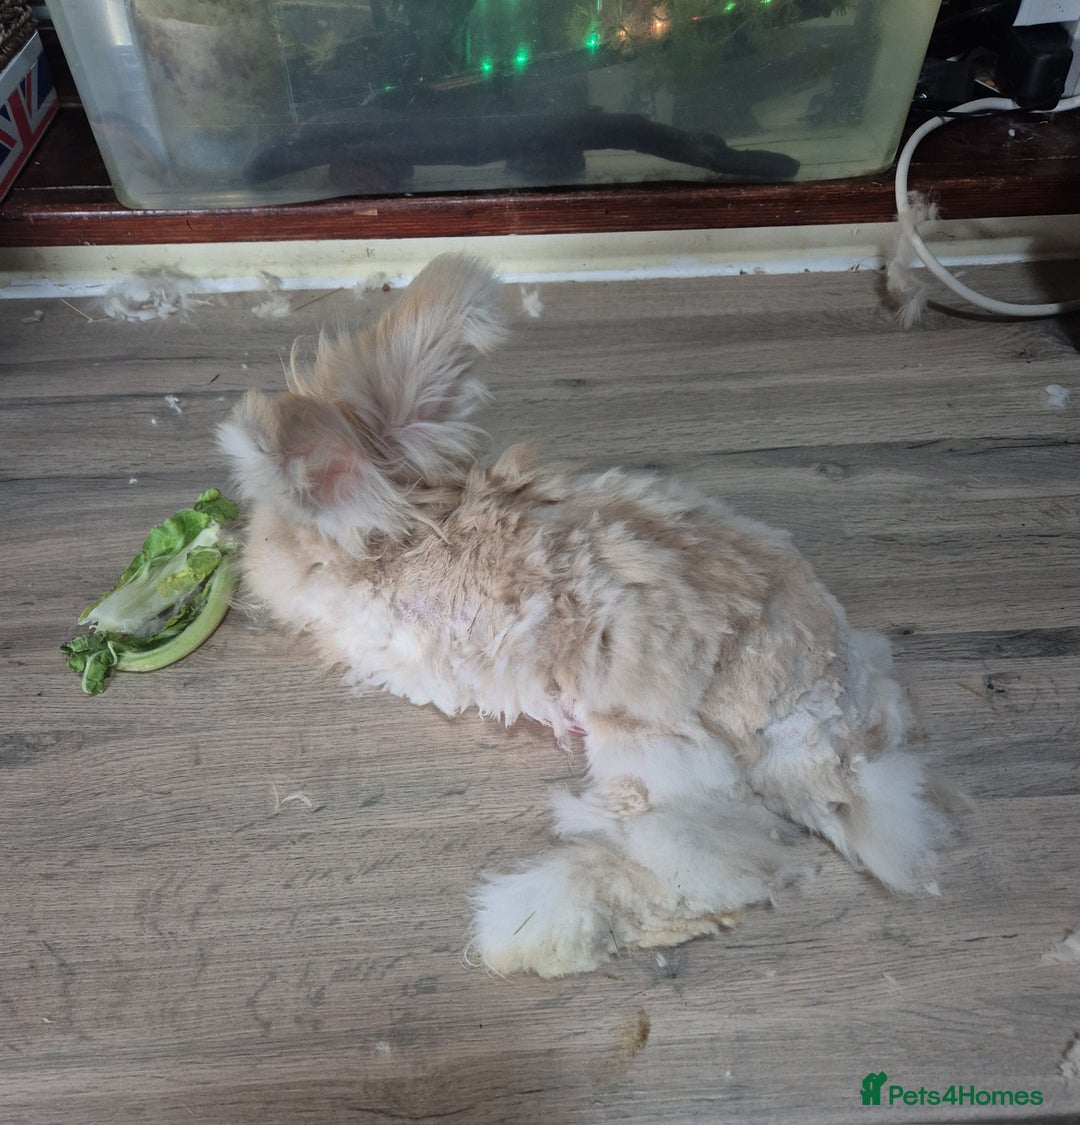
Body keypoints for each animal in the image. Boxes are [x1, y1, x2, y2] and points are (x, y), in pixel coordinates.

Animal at [218, 253, 951, 978]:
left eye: (268, 531)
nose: (243, 556)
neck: (407, 530)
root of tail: (831, 728)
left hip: (654, 756)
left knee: (716, 866)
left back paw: (518, 928)